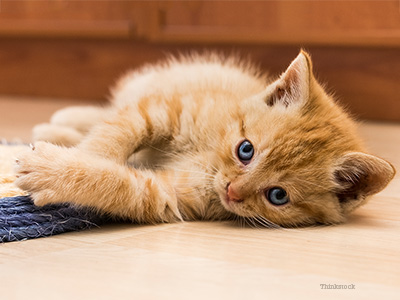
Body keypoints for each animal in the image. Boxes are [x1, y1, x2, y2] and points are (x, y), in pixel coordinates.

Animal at [14, 50, 396, 226]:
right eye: (246, 150)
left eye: (278, 196)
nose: (232, 191)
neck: (210, 153)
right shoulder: (164, 108)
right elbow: (116, 132)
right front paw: (87, 153)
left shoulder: (168, 195)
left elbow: (122, 184)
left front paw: (57, 169)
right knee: (109, 112)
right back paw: (60, 123)